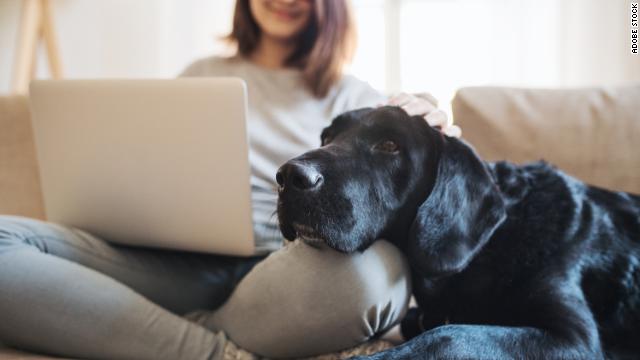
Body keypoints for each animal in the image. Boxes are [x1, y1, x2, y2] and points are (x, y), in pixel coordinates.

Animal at [276, 107, 640, 360]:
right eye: (326, 138)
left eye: (390, 145)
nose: (288, 176)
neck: (491, 246)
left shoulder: (573, 338)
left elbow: (449, 335)